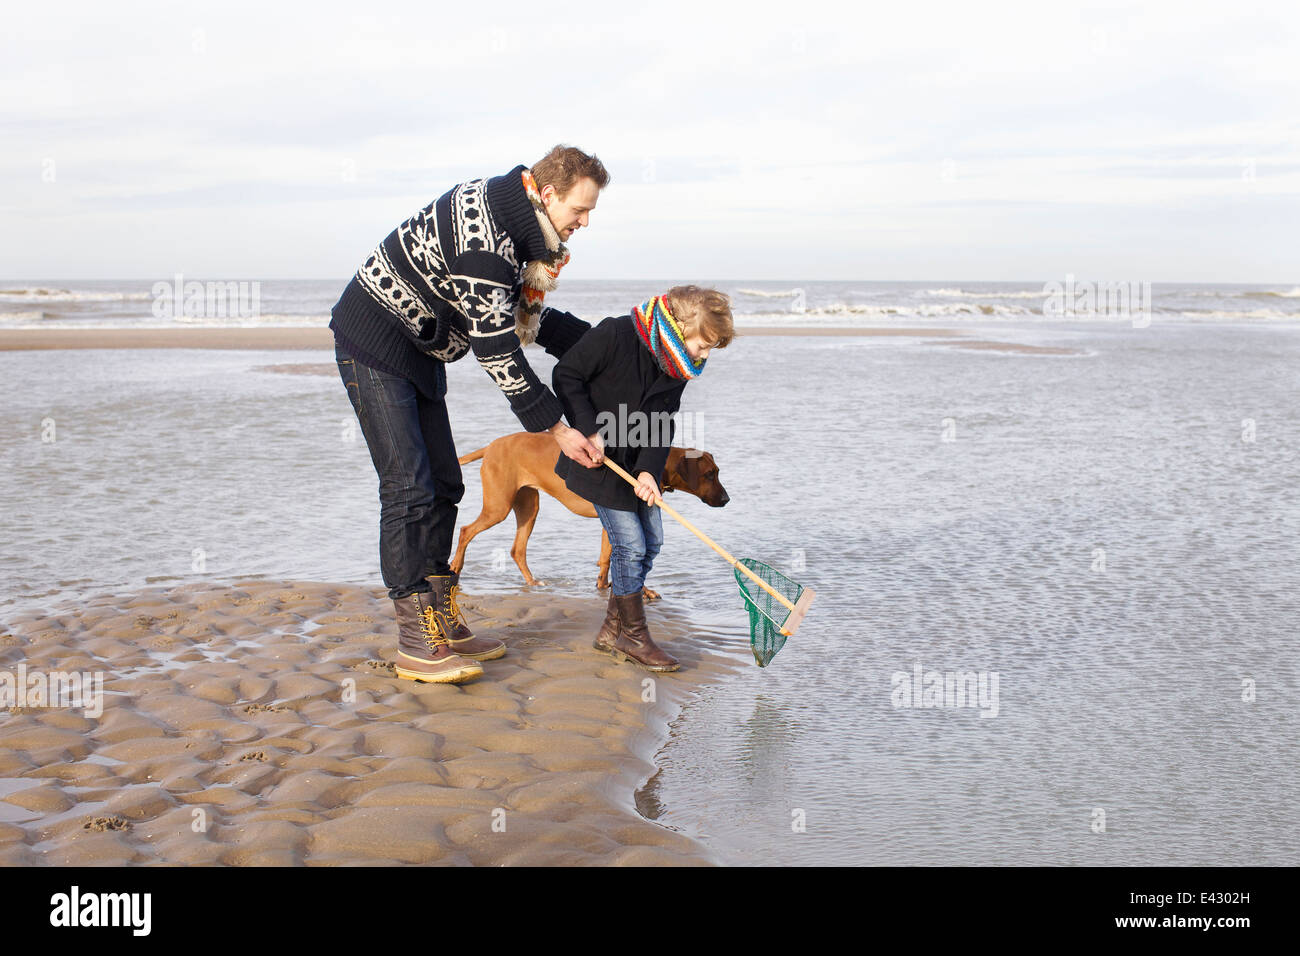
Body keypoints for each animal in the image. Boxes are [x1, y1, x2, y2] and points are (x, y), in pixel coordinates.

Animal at [452, 429, 728, 595]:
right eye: (709, 475)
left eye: (717, 472)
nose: (727, 499)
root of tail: (490, 446)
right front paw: (642, 591)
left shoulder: (612, 525)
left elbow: (606, 558)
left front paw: (603, 585)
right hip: (498, 507)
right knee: (466, 531)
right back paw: (455, 568)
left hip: (529, 506)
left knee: (517, 550)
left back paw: (533, 583)